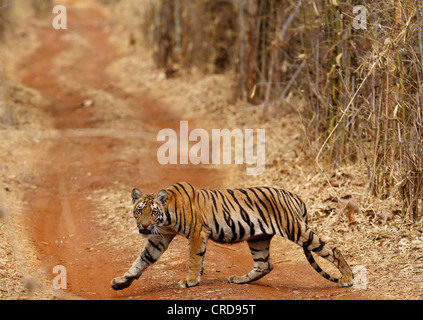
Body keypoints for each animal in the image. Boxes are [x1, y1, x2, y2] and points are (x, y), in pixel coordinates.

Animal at [112, 182, 354, 290]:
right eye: (138, 211)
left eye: (153, 212)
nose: (144, 226)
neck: (166, 218)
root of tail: (295, 195)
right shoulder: (159, 238)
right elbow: (142, 260)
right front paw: (122, 281)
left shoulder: (197, 233)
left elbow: (193, 259)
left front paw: (190, 281)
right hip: (258, 238)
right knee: (265, 265)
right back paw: (239, 279)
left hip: (296, 229)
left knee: (332, 249)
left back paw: (348, 279)